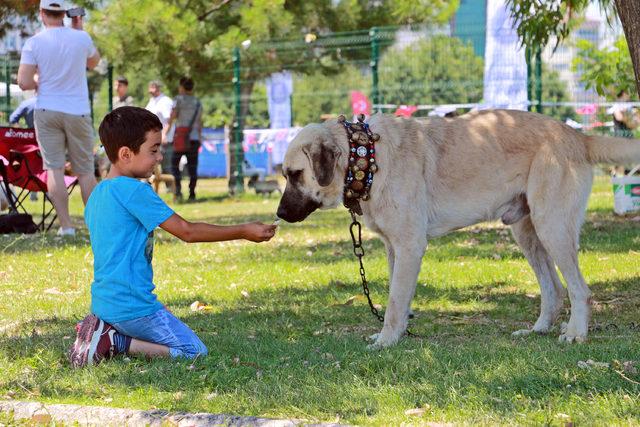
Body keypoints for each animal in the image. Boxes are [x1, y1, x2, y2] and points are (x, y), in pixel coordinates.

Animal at [278, 110, 640, 348]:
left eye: (295, 174)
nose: (279, 214)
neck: (365, 157)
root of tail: (577, 135)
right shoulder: (395, 249)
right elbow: (399, 298)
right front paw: (398, 333)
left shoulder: (410, 246)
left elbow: (394, 302)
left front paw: (386, 340)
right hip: (528, 234)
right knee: (554, 289)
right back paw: (538, 330)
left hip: (552, 227)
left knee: (579, 290)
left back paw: (576, 333)